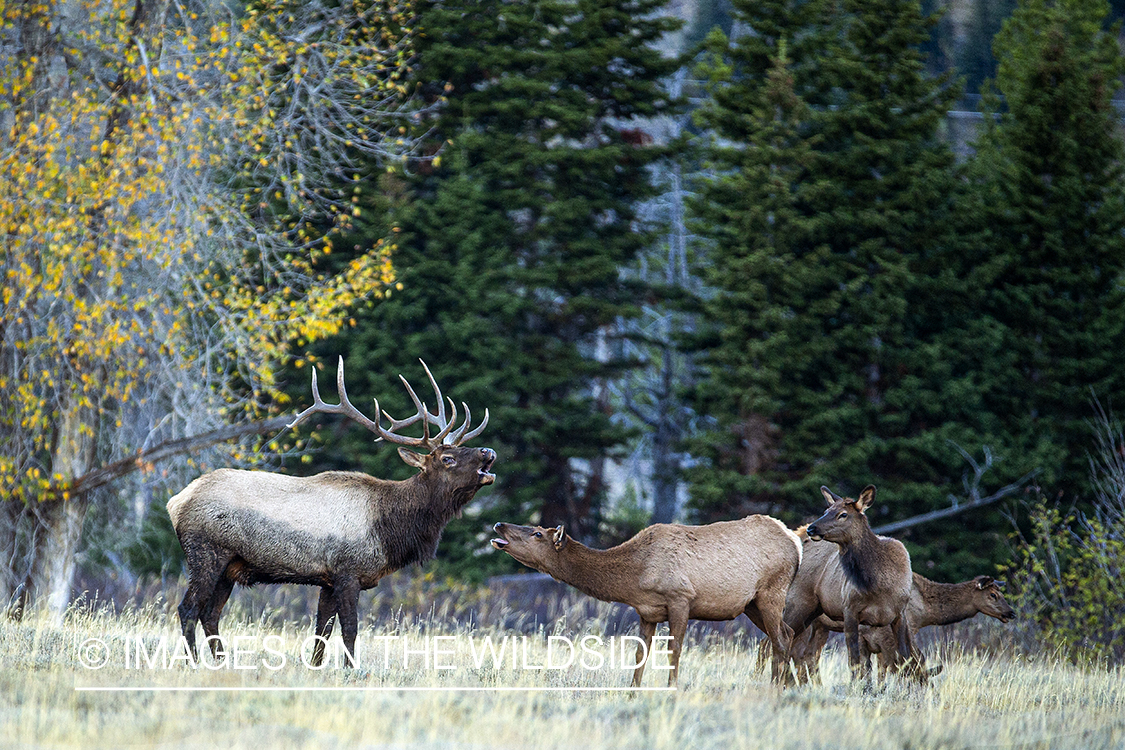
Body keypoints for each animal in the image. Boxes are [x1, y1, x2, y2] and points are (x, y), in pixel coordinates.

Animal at [164, 359, 495, 665]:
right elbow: (350, 629)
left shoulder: (328, 579)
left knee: (210, 613)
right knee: (188, 609)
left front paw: (315, 667)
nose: (488, 452)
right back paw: (194, 662)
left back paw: (222, 661)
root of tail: (176, 502)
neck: (389, 530)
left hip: (229, 567)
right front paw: (351, 670)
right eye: (447, 459)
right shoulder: (348, 571)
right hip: (206, 552)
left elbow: (322, 630)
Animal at [492, 517, 801, 688]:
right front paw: (632, 692)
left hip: (772, 591)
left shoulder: (680, 598)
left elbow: (674, 651)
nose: (499, 524)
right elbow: (640, 654)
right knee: (787, 633)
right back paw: (785, 685)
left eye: (537, 533)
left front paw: (671, 690)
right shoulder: (647, 612)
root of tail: (795, 543)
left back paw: (777, 687)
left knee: (780, 639)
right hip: (752, 604)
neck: (636, 577)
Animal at [787, 488, 918, 688]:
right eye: (826, 511)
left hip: (813, 614)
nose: (811, 529)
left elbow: (904, 658)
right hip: (797, 604)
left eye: (843, 514)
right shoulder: (849, 610)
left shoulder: (900, 613)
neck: (879, 584)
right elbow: (855, 661)